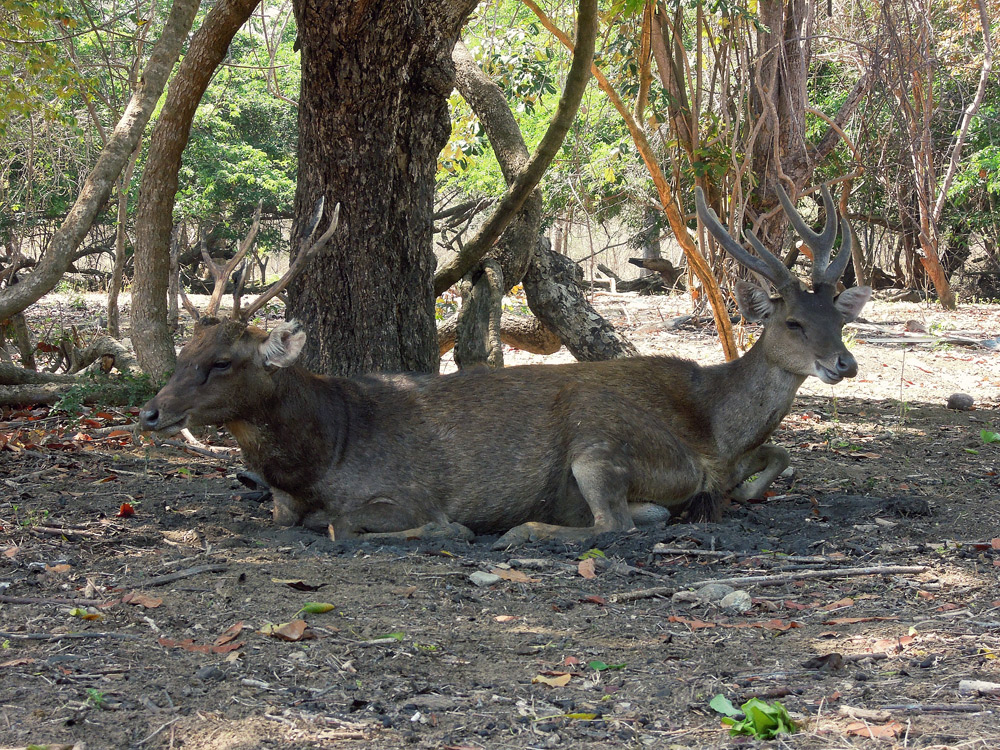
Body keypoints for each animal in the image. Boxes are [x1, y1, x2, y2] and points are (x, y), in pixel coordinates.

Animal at [139, 182, 868, 548]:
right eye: (185, 353)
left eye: (223, 361)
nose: (151, 410)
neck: (322, 449)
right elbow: (285, 514)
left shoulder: (401, 490)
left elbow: (347, 524)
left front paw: (456, 527)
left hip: (597, 449)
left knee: (615, 525)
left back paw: (526, 530)